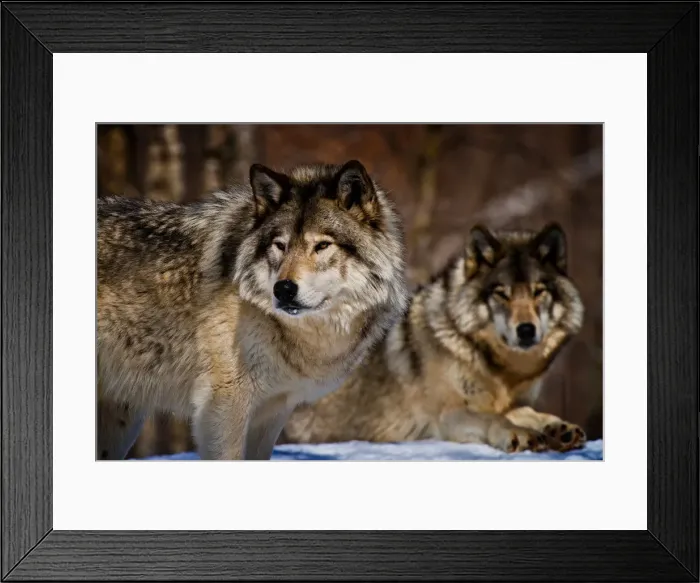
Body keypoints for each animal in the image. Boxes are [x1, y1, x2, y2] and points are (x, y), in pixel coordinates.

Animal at [279, 222, 586, 453]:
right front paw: (520, 434)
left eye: (538, 291)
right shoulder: (448, 415)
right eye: (502, 293)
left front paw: (558, 427)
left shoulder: (504, 402)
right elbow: (494, 420)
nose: (526, 330)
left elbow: (526, 412)